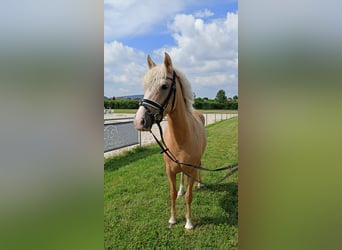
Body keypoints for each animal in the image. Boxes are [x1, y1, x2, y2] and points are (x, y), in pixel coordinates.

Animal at [135, 52, 207, 230]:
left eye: (164, 86)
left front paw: (188, 223)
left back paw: (200, 183)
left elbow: (189, 196)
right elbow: (173, 193)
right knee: (181, 180)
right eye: (145, 86)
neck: (181, 137)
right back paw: (182, 189)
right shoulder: (169, 170)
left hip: (197, 163)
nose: (139, 121)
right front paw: (173, 219)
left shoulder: (191, 169)